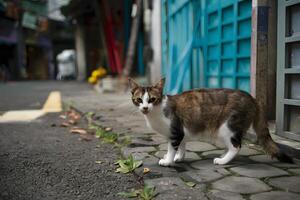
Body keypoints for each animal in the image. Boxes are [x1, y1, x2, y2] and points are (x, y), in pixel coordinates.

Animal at [127, 77, 292, 166]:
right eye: (139, 100)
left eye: (152, 99)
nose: (145, 108)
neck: (157, 111)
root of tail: (252, 98)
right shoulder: (179, 133)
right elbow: (181, 146)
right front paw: (179, 157)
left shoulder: (175, 131)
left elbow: (172, 148)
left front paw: (168, 160)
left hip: (227, 126)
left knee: (236, 146)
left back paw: (222, 160)